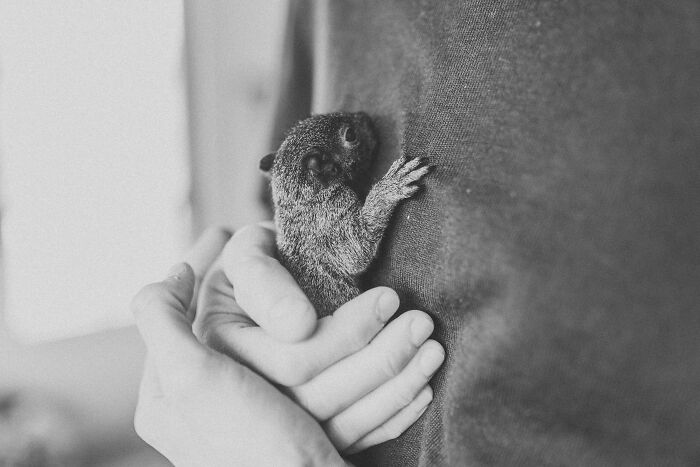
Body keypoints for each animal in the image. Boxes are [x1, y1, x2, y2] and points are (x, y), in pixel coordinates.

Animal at [260, 112, 430, 317]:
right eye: (350, 135)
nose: (364, 116)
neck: (300, 197)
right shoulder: (327, 221)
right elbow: (358, 248)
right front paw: (389, 188)